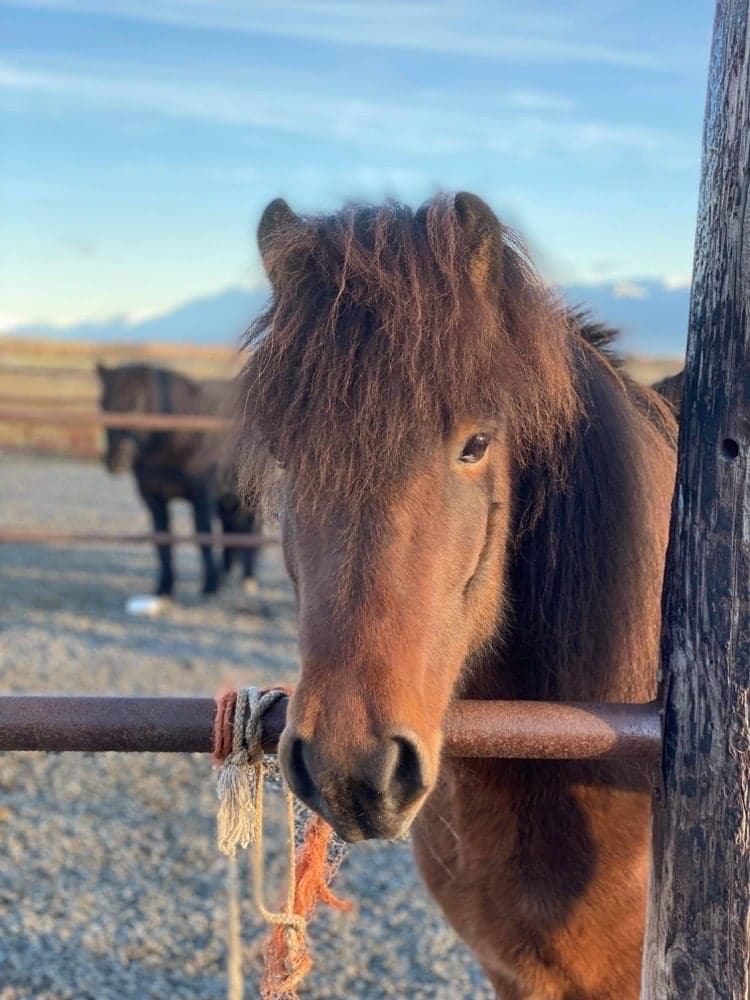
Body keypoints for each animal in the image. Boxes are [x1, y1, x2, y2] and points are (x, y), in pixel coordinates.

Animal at [97, 364, 258, 596]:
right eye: (103, 404)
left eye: (137, 403)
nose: (116, 461)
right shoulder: (154, 498)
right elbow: (163, 540)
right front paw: (165, 586)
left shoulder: (202, 496)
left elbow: (203, 536)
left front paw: (209, 586)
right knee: (233, 528)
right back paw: (225, 575)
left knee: (250, 531)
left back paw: (248, 578)